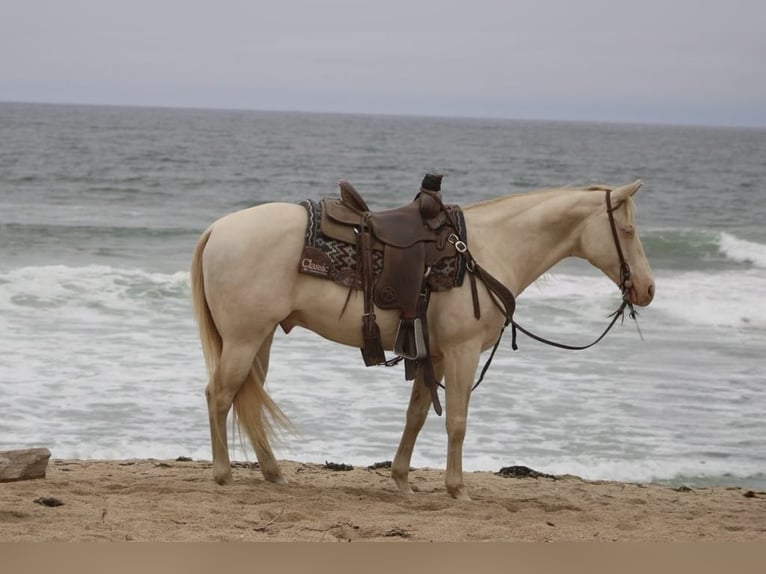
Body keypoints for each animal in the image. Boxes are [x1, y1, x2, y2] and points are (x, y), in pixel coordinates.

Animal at [190, 179, 655, 500]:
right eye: (629, 230)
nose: (647, 289)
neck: (485, 250)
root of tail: (216, 230)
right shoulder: (463, 353)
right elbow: (457, 422)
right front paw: (457, 488)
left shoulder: (436, 355)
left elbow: (415, 416)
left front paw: (401, 480)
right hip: (244, 339)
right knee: (219, 395)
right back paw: (223, 473)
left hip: (260, 338)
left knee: (247, 399)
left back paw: (273, 472)